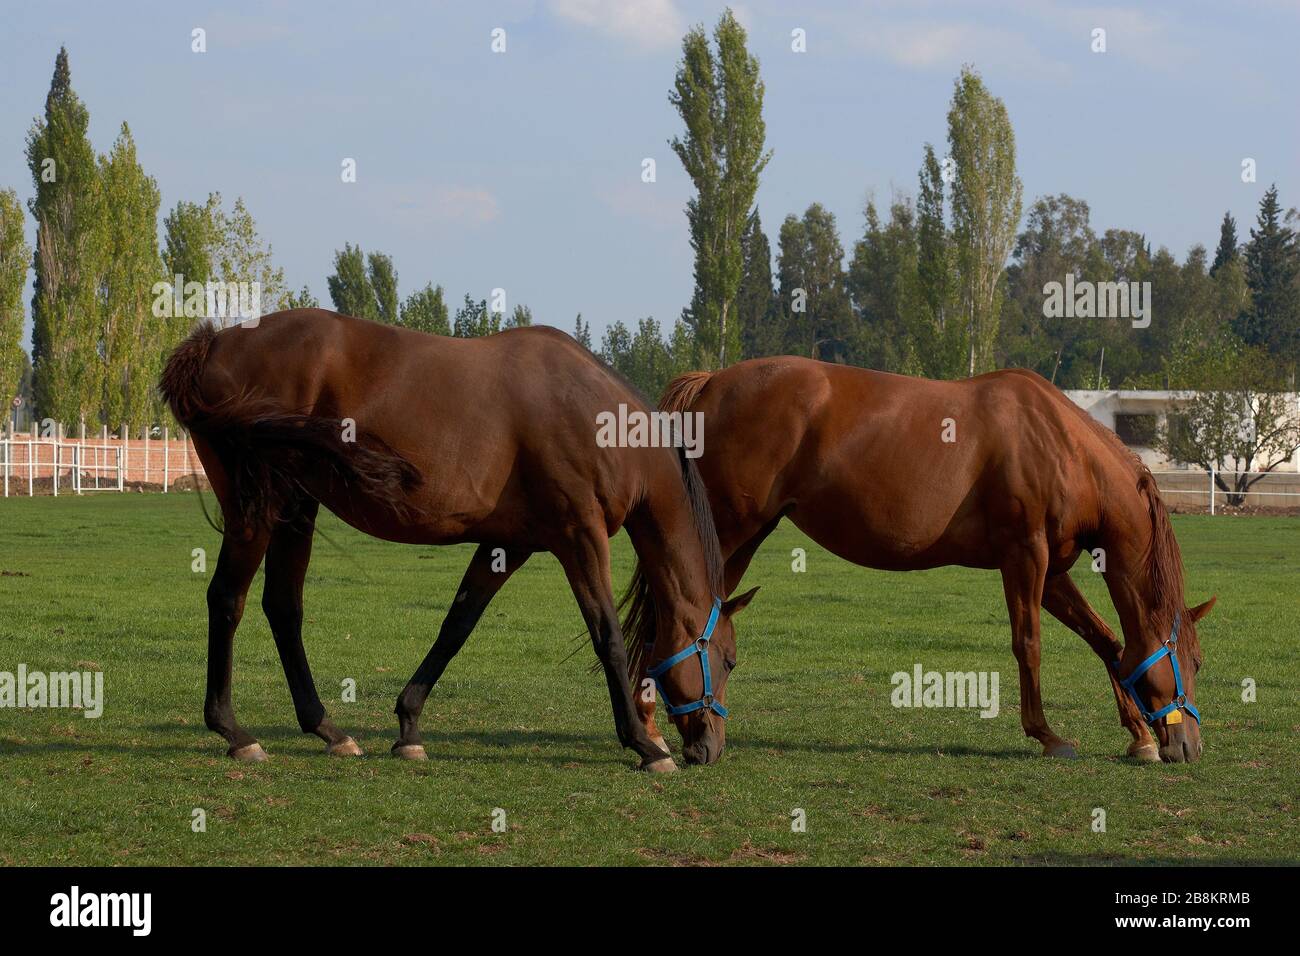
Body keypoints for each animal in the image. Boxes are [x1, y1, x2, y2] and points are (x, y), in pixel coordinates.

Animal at [159, 310, 754, 775]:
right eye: (727, 661)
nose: (710, 748)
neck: (596, 418)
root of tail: (214, 343)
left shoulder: (507, 546)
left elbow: (457, 625)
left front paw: (408, 727)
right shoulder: (578, 537)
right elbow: (605, 633)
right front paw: (642, 745)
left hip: (296, 509)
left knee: (283, 606)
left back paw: (328, 729)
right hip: (256, 510)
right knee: (227, 600)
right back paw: (236, 734)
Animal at [634, 356, 1211, 764]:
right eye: (1197, 662)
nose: (1190, 746)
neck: (1060, 445)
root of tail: (711, 382)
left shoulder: (1051, 573)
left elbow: (1107, 642)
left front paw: (1138, 736)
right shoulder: (1025, 557)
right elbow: (1029, 645)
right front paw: (1047, 735)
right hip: (728, 532)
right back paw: (656, 733)